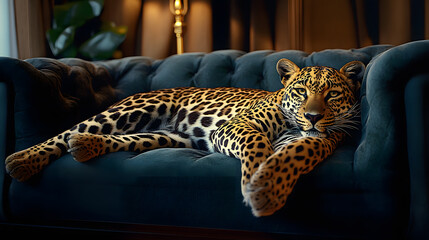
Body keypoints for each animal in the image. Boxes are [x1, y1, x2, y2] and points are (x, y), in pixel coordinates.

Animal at [5, 58, 362, 218]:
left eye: (331, 95)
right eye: (301, 92)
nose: (312, 116)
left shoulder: (313, 141)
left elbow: (291, 156)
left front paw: (267, 189)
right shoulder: (237, 125)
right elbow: (258, 144)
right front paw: (255, 181)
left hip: (164, 138)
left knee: (106, 139)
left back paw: (85, 146)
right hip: (129, 111)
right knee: (67, 132)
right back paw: (21, 160)